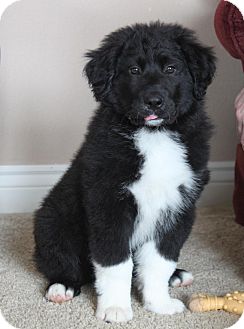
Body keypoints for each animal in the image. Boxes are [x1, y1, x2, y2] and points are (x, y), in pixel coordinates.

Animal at [33, 21, 215, 322]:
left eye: (171, 69)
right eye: (134, 70)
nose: (153, 101)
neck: (154, 135)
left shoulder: (179, 207)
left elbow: (160, 261)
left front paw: (158, 303)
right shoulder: (109, 204)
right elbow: (115, 263)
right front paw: (115, 308)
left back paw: (176, 276)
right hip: (52, 222)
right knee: (62, 261)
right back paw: (62, 287)